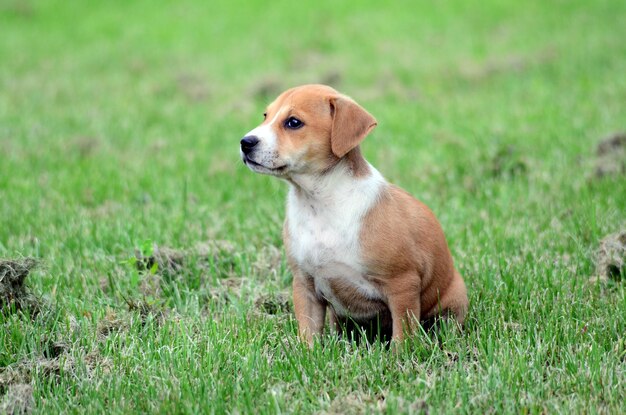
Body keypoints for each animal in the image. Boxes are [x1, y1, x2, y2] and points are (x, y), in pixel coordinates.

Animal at [239, 83, 464, 344]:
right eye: (265, 116)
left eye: (293, 122)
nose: (245, 142)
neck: (319, 203)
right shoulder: (304, 284)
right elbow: (308, 331)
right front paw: (308, 351)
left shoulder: (402, 284)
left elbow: (402, 335)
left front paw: (401, 355)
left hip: (453, 298)